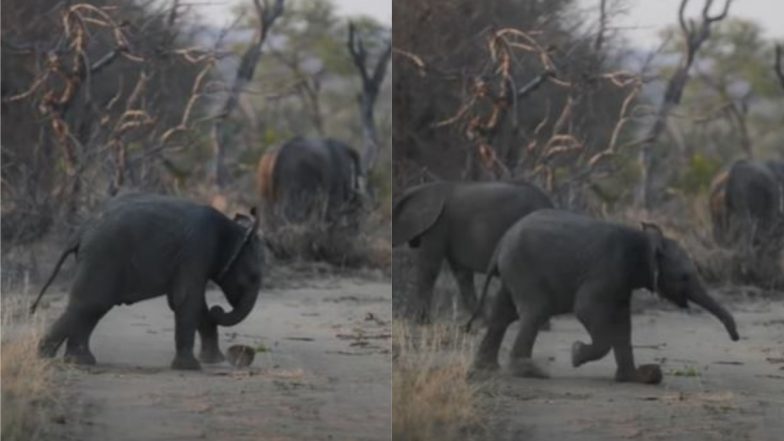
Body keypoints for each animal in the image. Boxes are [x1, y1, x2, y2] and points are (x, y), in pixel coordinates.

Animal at [31, 192, 264, 370]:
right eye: (254, 277)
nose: (219, 309)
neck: (231, 230)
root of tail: (81, 230)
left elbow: (189, 302)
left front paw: (213, 362)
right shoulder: (196, 251)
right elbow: (186, 299)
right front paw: (191, 368)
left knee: (92, 308)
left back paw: (78, 361)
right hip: (102, 257)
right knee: (91, 304)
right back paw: (45, 358)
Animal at [392, 180, 553, 322]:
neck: (420, 190)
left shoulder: (437, 226)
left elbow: (429, 268)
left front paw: (419, 322)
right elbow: (462, 275)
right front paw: (481, 322)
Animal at [469, 209, 739, 383]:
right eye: (684, 277)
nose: (736, 337)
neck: (643, 240)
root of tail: (501, 242)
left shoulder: (621, 282)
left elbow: (622, 323)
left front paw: (638, 377)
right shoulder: (607, 270)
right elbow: (586, 309)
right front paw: (576, 354)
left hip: (513, 272)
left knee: (503, 315)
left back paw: (486, 370)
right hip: (524, 268)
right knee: (534, 311)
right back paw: (530, 371)